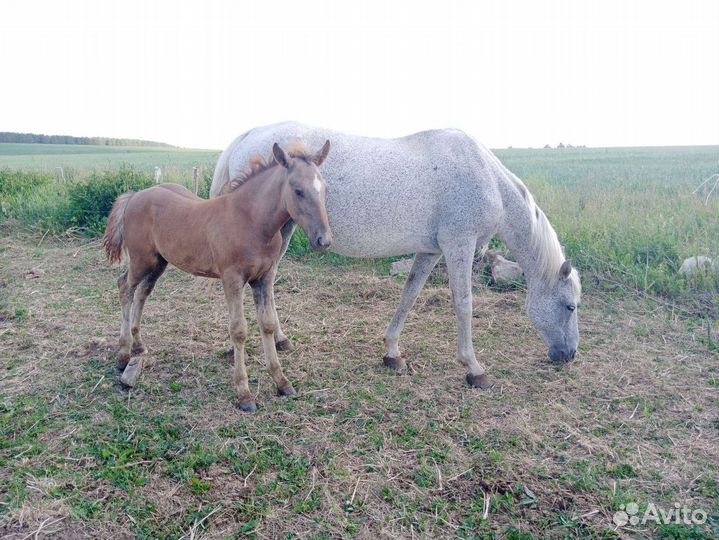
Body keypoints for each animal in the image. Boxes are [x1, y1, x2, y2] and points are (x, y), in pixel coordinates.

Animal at [103, 140, 332, 412]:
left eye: (324, 189)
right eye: (298, 191)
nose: (324, 240)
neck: (250, 220)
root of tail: (136, 195)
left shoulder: (263, 278)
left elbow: (267, 323)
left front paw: (281, 381)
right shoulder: (232, 278)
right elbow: (239, 330)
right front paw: (244, 394)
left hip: (159, 262)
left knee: (142, 293)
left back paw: (138, 345)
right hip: (141, 260)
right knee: (124, 287)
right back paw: (123, 353)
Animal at [211, 122, 582, 389]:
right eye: (570, 306)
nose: (569, 355)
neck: (486, 177)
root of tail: (249, 134)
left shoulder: (431, 250)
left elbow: (410, 294)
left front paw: (392, 352)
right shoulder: (459, 244)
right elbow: (463, 303)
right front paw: (474, 368)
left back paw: (278, 340)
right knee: (266, 281)